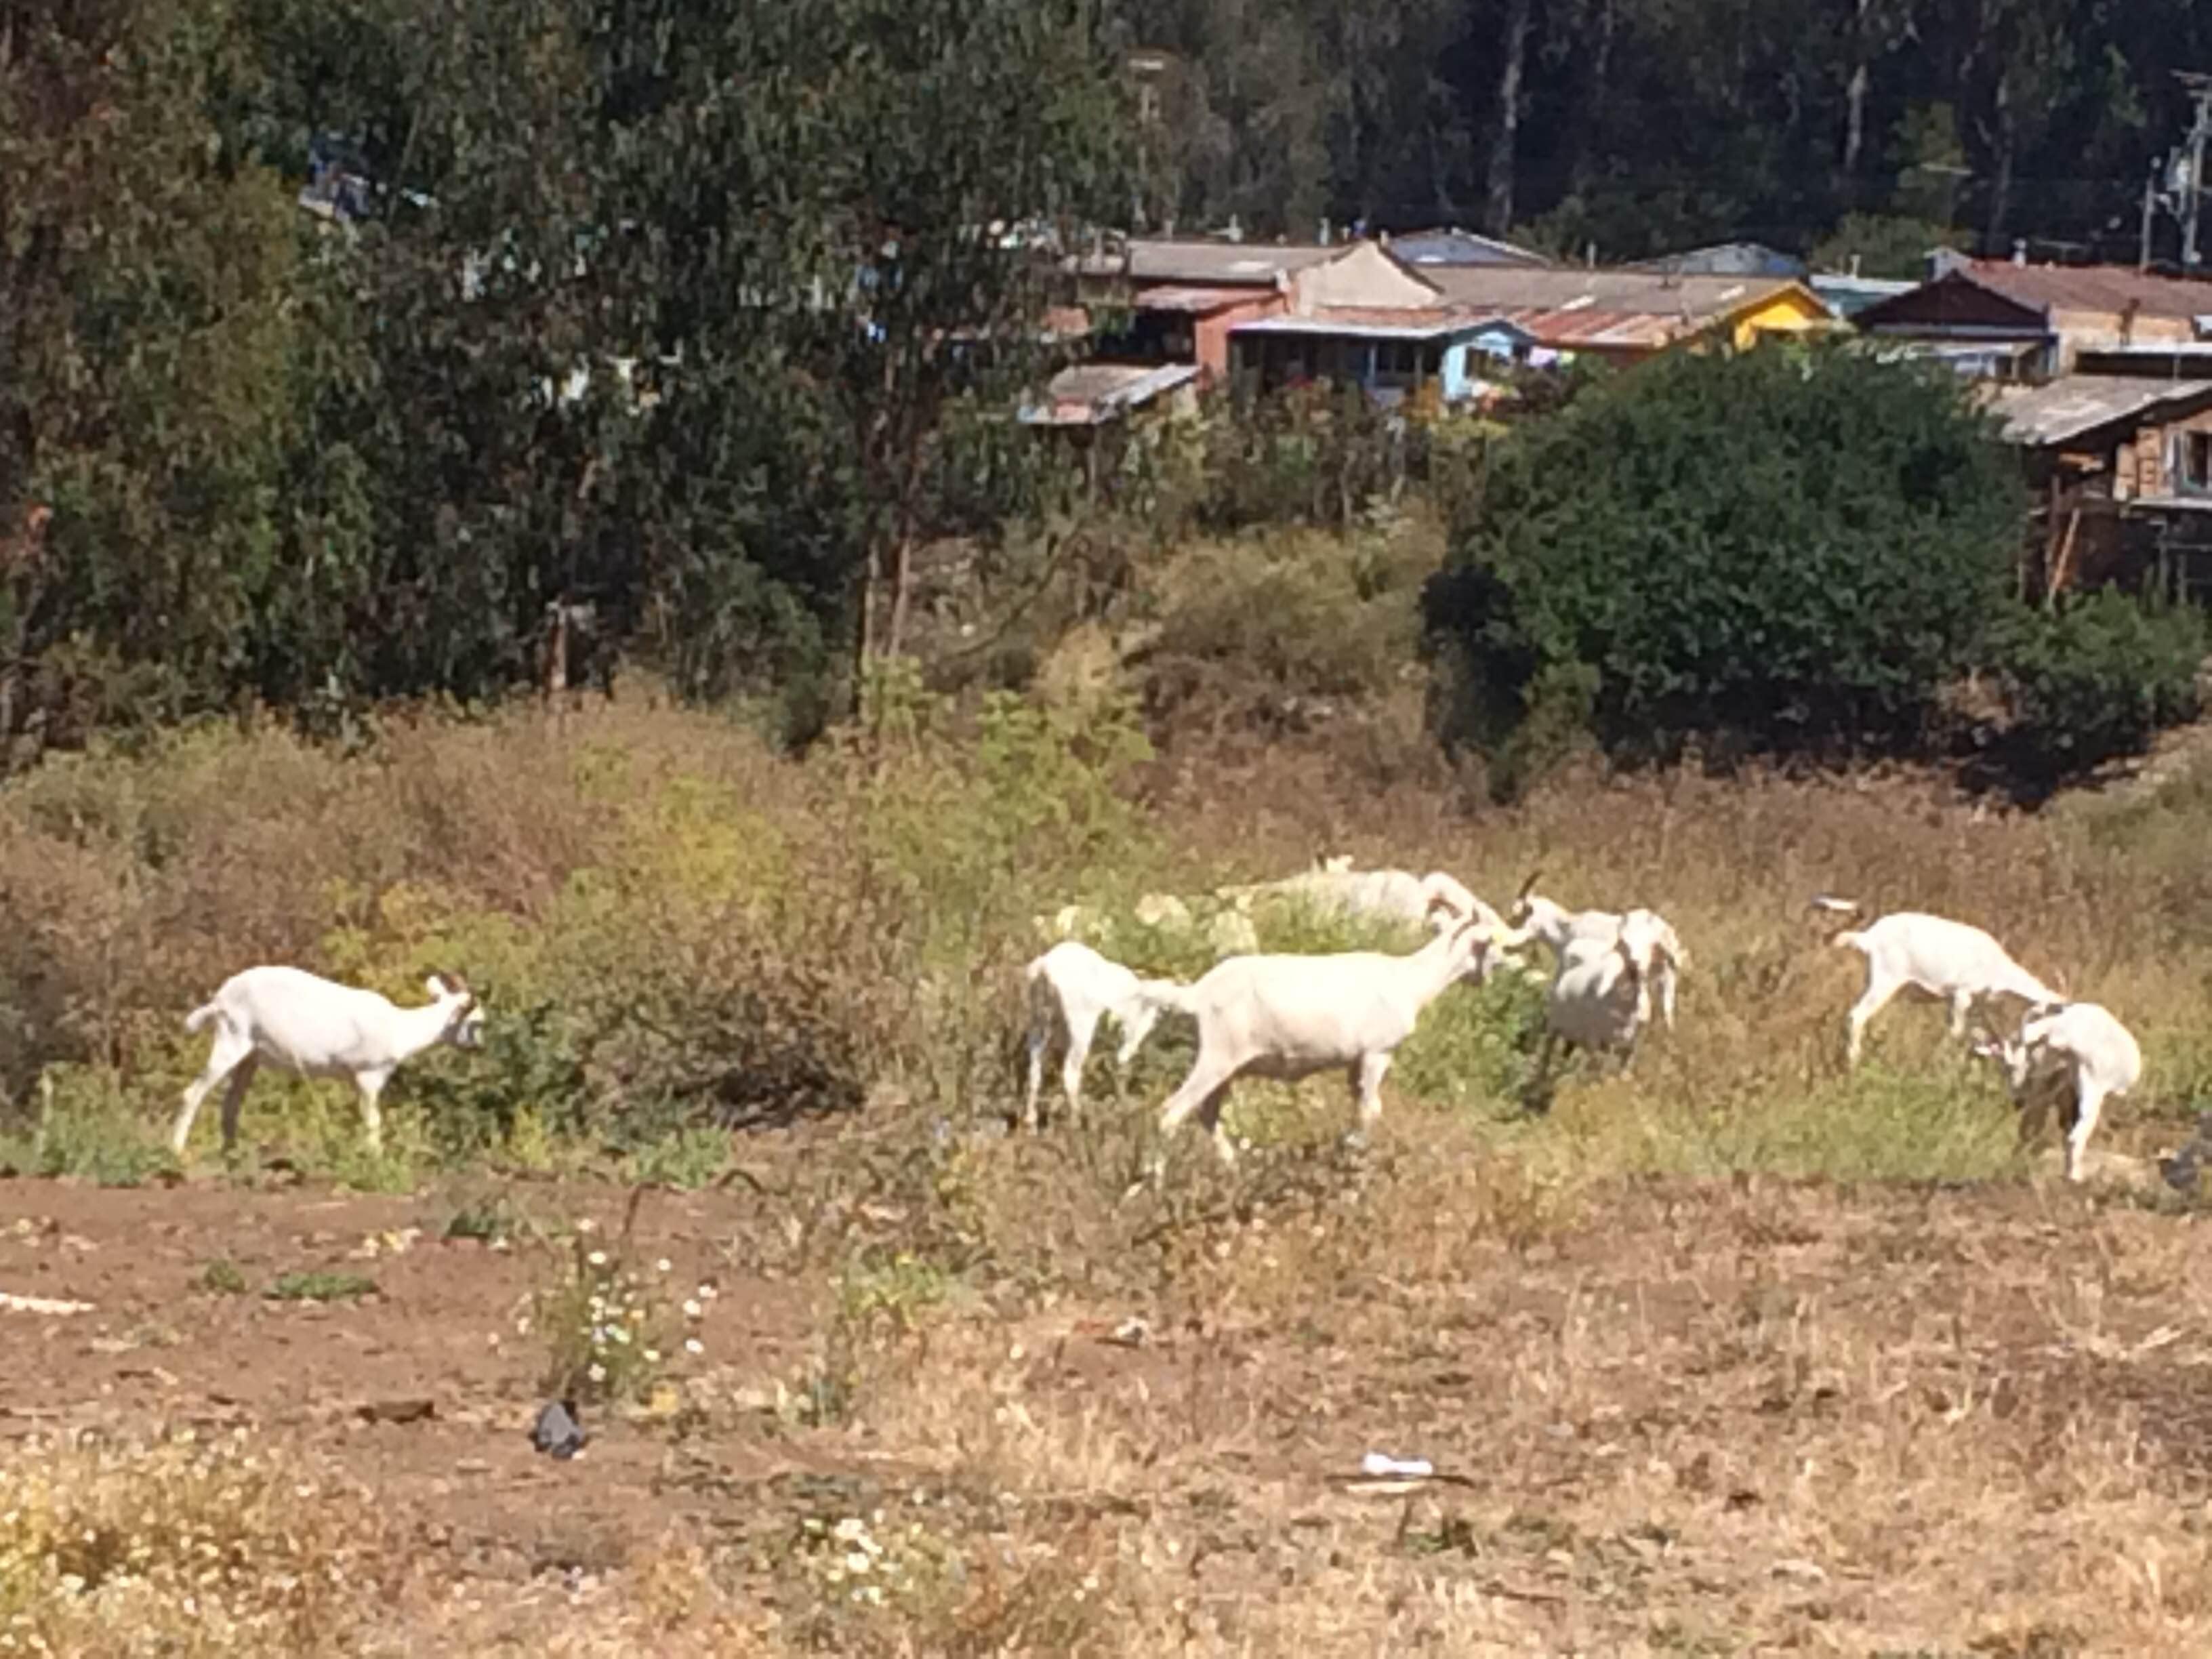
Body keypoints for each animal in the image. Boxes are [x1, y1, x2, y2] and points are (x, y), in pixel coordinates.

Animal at [171, 973, 484, 1159]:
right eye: (476, 1022)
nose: (479, 1048)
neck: (399, 1028)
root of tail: (219, 999)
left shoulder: (355, 1081)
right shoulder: (368, 1077)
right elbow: (373, 1121)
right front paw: (376, 1159)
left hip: (250, 1058)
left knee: (231, 1103)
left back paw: (232, 1154)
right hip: (231, 1041)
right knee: (192, 1093)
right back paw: (176, 1151)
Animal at [1021, 946, 1194, 1132]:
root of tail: (1044, 967)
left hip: (1039, 1019)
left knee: (1034, 1071)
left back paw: (1031, 1122)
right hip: (1081, 1023)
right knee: (1070, 1072)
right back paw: (1076, 1122)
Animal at [1159, 911, 1504, 1168]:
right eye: (1490, 943)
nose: (1491, 975)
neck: (1408, 980)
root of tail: (1197, 994)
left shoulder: (1355, 1061)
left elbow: (1359, 1105)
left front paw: (1347, 1148)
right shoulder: (1378, 1052)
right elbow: (1372, 1108)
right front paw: (1356, 1150)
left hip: (1228, 1064)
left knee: (1206, 1112)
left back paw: (1233, 1168)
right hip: (1218, 1054)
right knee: (1171, 1113)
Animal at [1822, 902, 2062, 1070]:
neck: (1998, 970)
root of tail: (1868, 938)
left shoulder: (1961, 1002)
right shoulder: (1962, 994)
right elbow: (1957, 1032)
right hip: (1886, 979)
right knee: (1857, 1015)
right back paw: (1854, 1063)